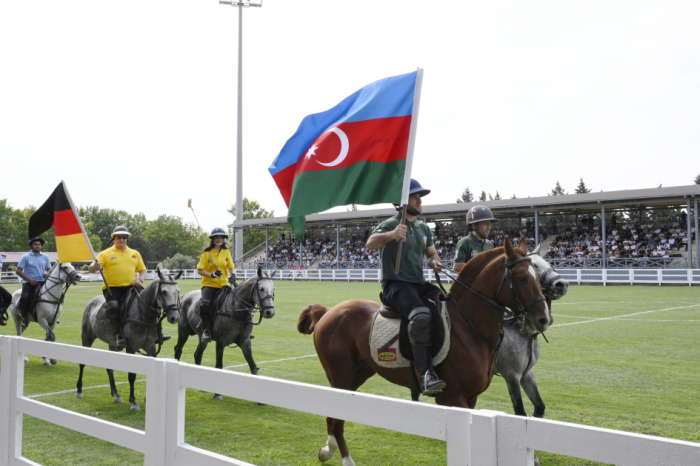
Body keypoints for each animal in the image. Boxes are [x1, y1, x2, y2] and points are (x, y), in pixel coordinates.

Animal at [76, 268, 183, 414]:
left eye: (177, 291)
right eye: (164, 291)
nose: (174, 317)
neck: (144, 315)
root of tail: (92, 301)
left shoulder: (151, 347)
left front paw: (147, 398)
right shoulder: (131, 347)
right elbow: (132, 375)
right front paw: (133, 402)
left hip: (112, 344)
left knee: (110, 368)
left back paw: (116, 394)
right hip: (87, 337)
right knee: (82, 363)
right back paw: (79, 390)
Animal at [174, 268, 274, 398]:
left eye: (273, 289)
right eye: (261, 288)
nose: (270, 312)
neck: (236, 310)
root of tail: (184, 296)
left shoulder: (245, 342)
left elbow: (253, 366)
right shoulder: (220, 343)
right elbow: (219, 366)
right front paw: (217, 394)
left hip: (202, 337)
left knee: (197, 354)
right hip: (183, 331)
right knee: (178, 349)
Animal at [298, 238, 548, 464]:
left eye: (538, 277)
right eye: (523, 278)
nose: (544, 319)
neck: (467, 327)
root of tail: (329, 311)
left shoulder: (472, 397)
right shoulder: (452, 398)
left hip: (358, 374)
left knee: (334, 417)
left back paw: (327, 450)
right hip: (340, 376)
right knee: (337, 419)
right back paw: (343, 458)